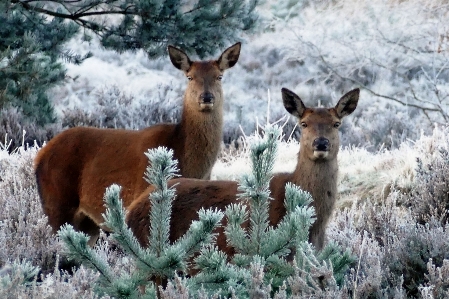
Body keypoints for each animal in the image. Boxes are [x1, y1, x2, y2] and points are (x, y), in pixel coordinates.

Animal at [34, 42, 242, 244]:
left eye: (219, 76)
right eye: (190, 77)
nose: (206, 97)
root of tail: (39, 156)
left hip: (87, 223)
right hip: (57, 203)